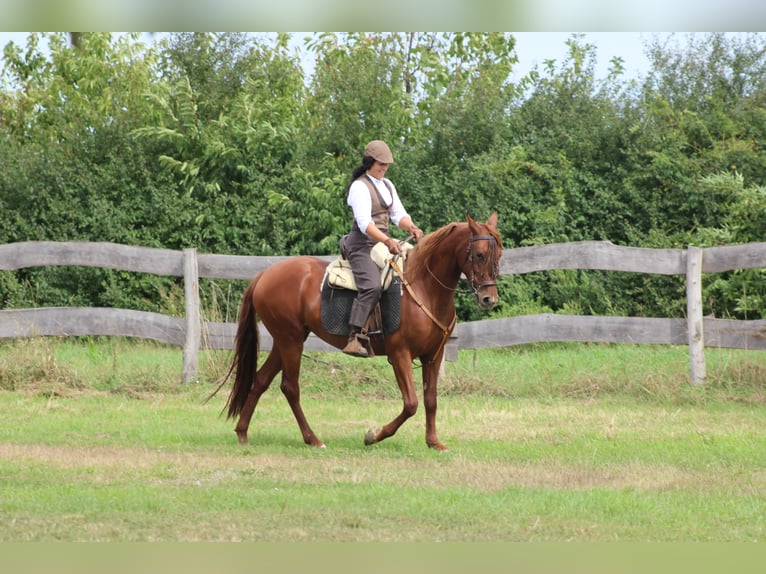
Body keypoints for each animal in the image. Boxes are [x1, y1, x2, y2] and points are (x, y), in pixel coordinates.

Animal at [216, 214, 504, 452]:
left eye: (499, 254)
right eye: (479, 254)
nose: (488, 298)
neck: (425, 287)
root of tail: (264, 275)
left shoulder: (433, 355)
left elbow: (430, 400)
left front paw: (434, 442)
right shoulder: (400, 354)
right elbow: (411, 403)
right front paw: (374, 435)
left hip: (285, 341)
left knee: (260, 380)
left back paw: (242, 432)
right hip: (291, 342)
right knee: (290, 388)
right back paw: (313, 439)